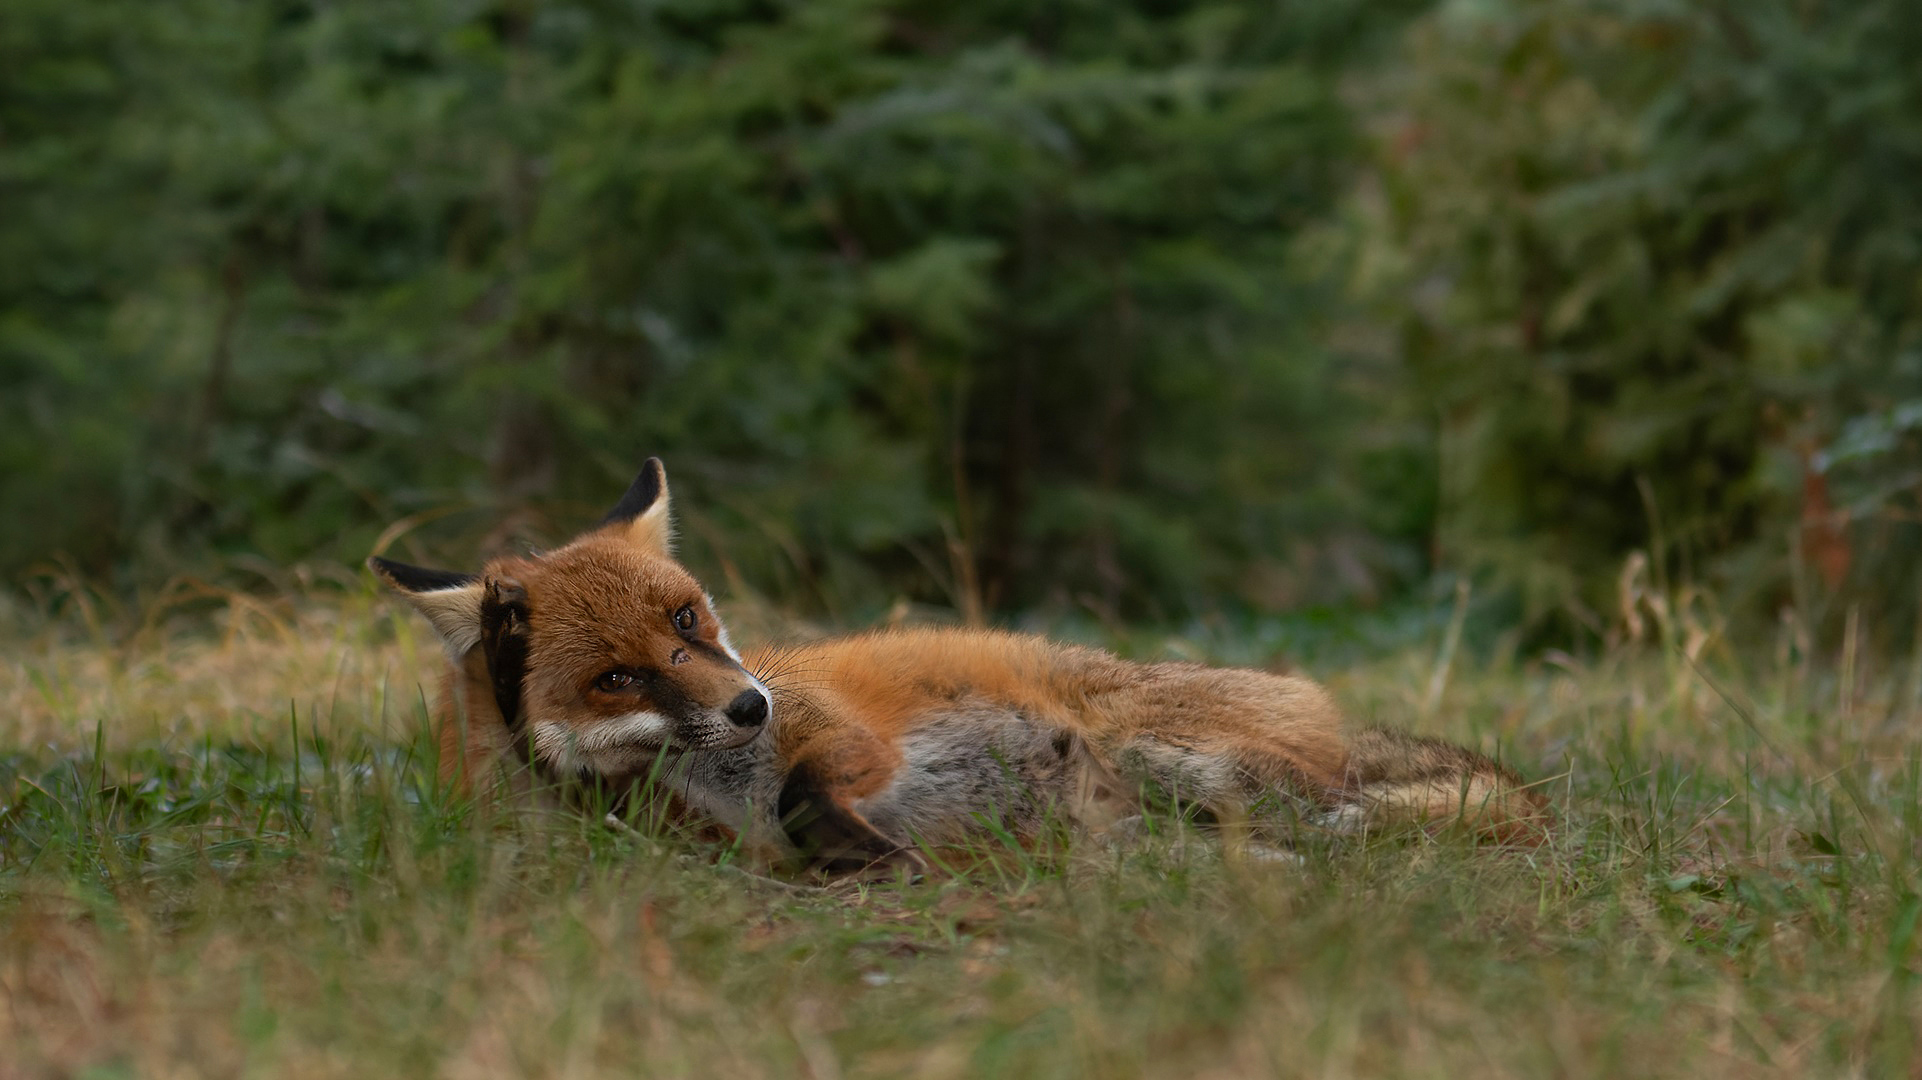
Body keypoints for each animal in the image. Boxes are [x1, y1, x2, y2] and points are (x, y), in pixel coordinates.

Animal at [370, 457, 1545, 868]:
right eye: (617, 675)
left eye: (690, 621)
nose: (748, 706)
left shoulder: (839, 733)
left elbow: (803, 795)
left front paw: (866, 849)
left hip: (1189, 759)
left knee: (1373, 817)